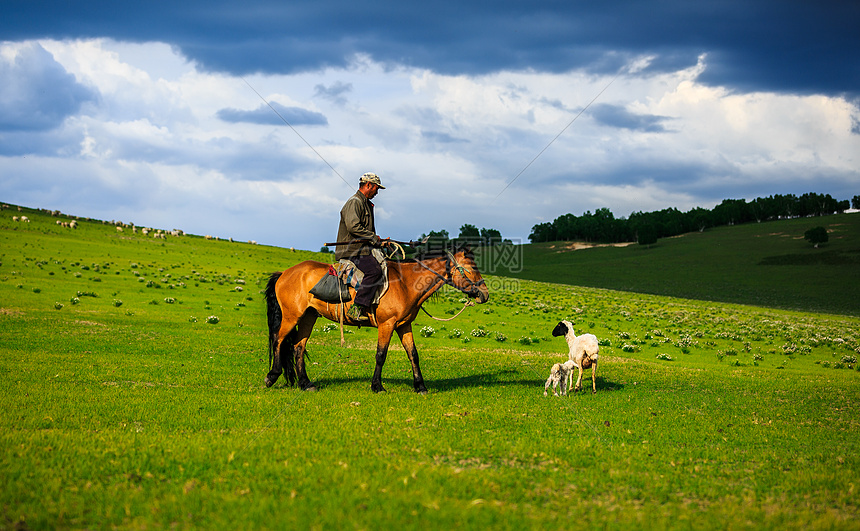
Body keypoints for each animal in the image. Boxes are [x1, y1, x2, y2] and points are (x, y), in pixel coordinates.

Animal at [262, 247, 490, 392]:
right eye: (471, 268)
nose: (485, 294)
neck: (406, 283)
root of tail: (285, 273)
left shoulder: (403, 325)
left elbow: (413, 354)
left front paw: (420, 386)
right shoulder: (386, 324)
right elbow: (381, 355)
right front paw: (377, 386)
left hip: (308, 317)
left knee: (298, 347)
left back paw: (305, 384)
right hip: (291, 316)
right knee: (278, 340)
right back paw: (272, 376)